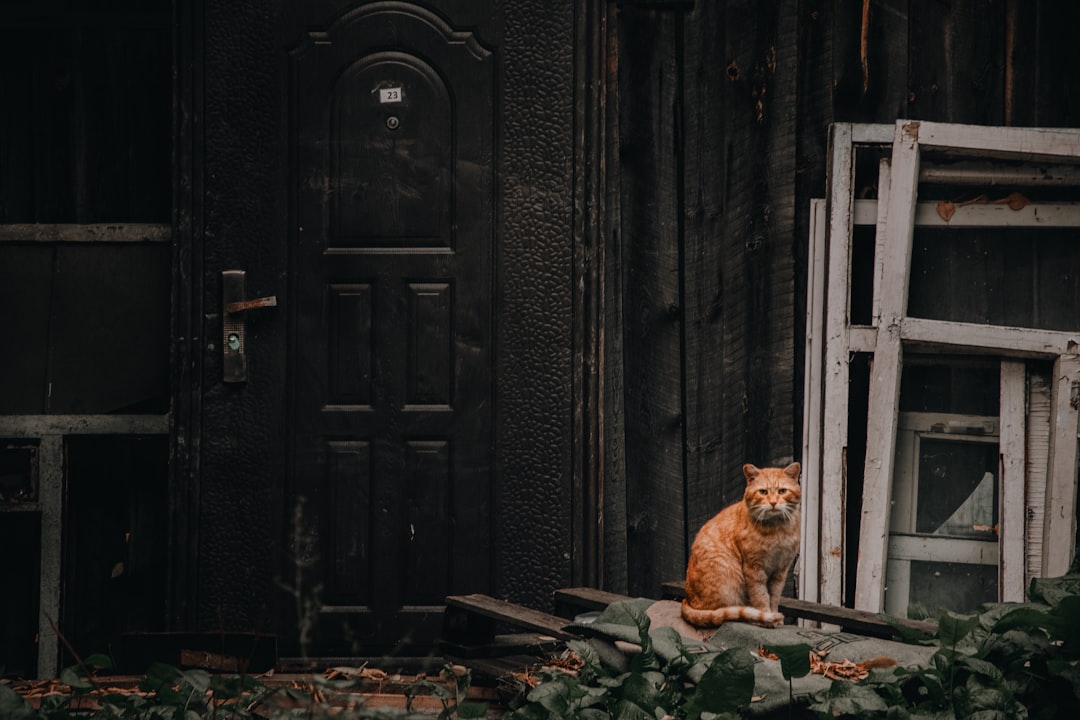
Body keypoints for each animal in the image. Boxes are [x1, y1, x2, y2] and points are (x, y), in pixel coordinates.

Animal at [682, 464, 803, 626]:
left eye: (782, 491)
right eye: (763, 492)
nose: (773, 502)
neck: (777, 530)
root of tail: (687, 600)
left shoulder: (780, 571)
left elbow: (774, 596)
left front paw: (774, 616)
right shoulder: (754, 569)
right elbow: (761, 596)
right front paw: (767, 617)